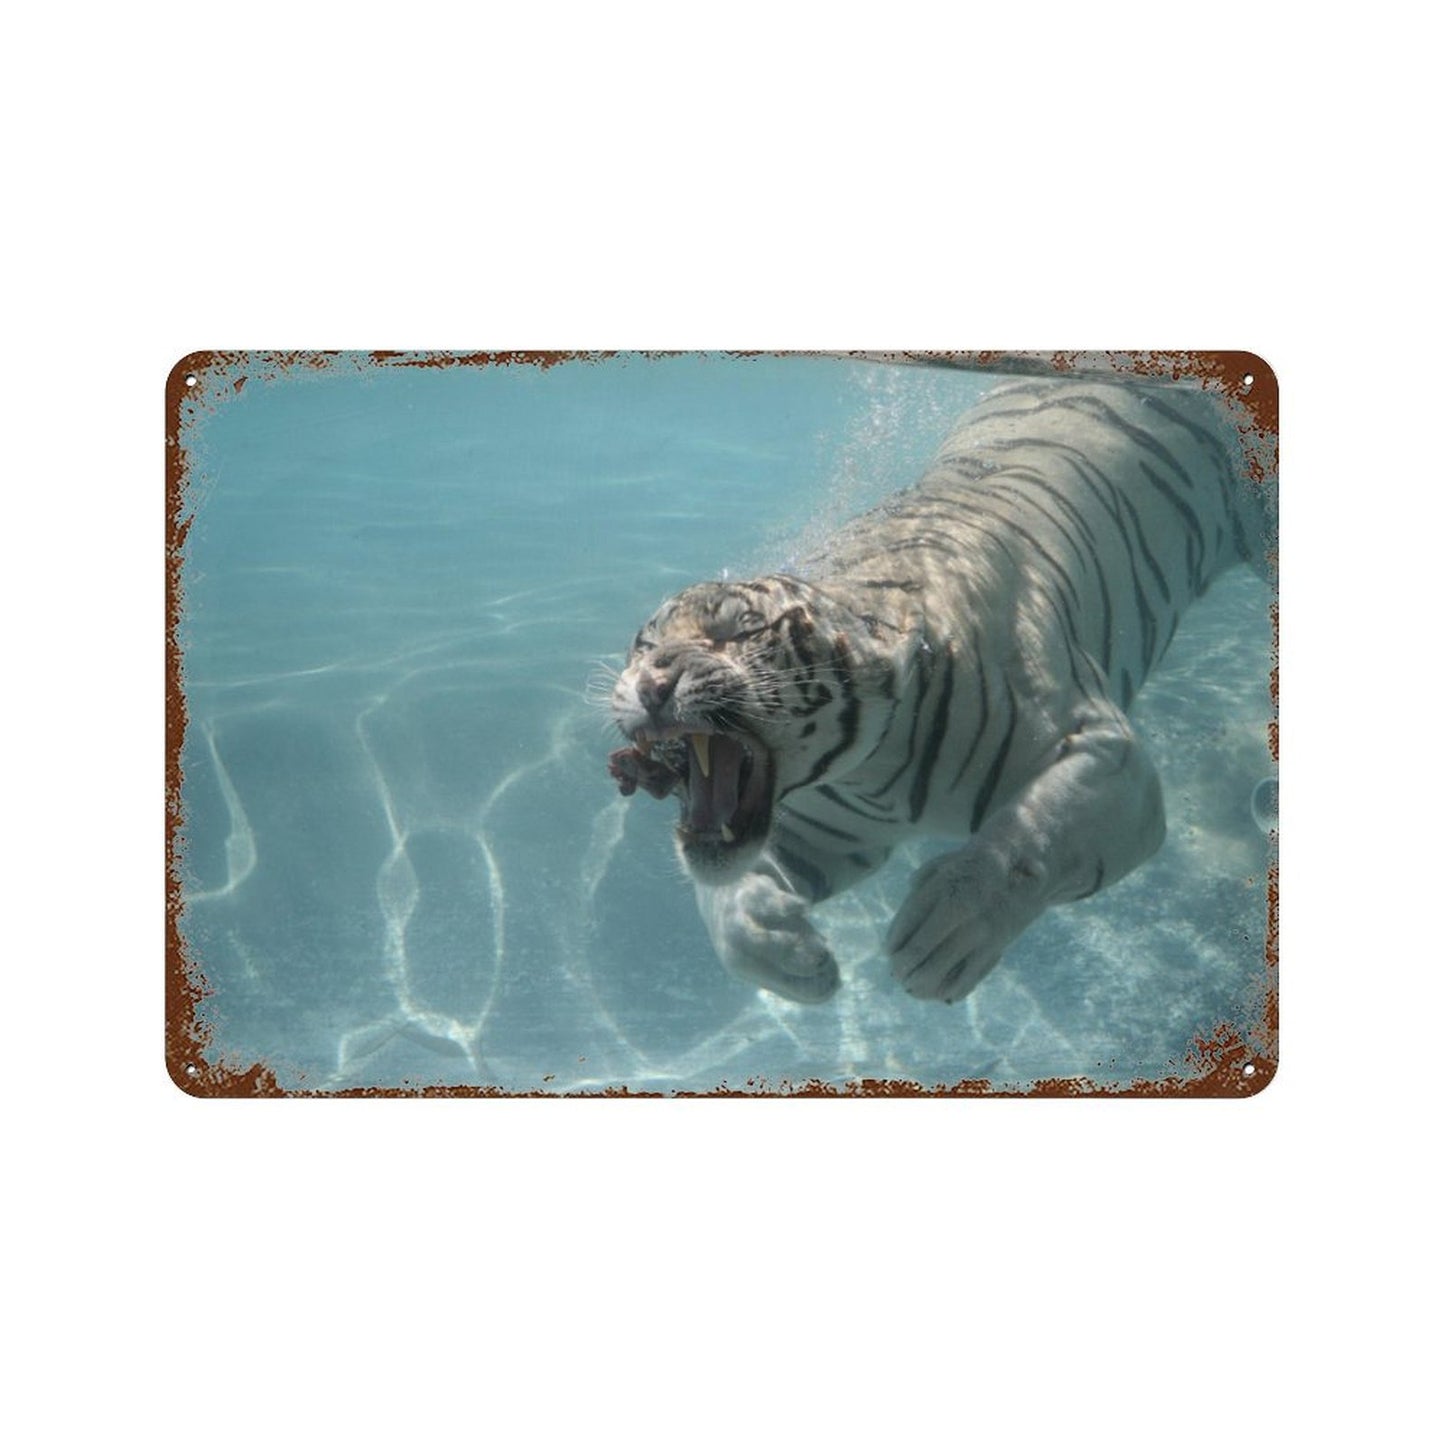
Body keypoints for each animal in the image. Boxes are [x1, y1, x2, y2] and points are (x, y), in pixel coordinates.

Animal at [606, 376, 1276, 1005]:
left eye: (738, 628)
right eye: (644, 642)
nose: (653, 682)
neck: (872, 769)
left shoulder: (1113, 763)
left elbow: (1033, 836)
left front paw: (948, 930)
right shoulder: (826, 832)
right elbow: (725, 900)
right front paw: (783, 948)